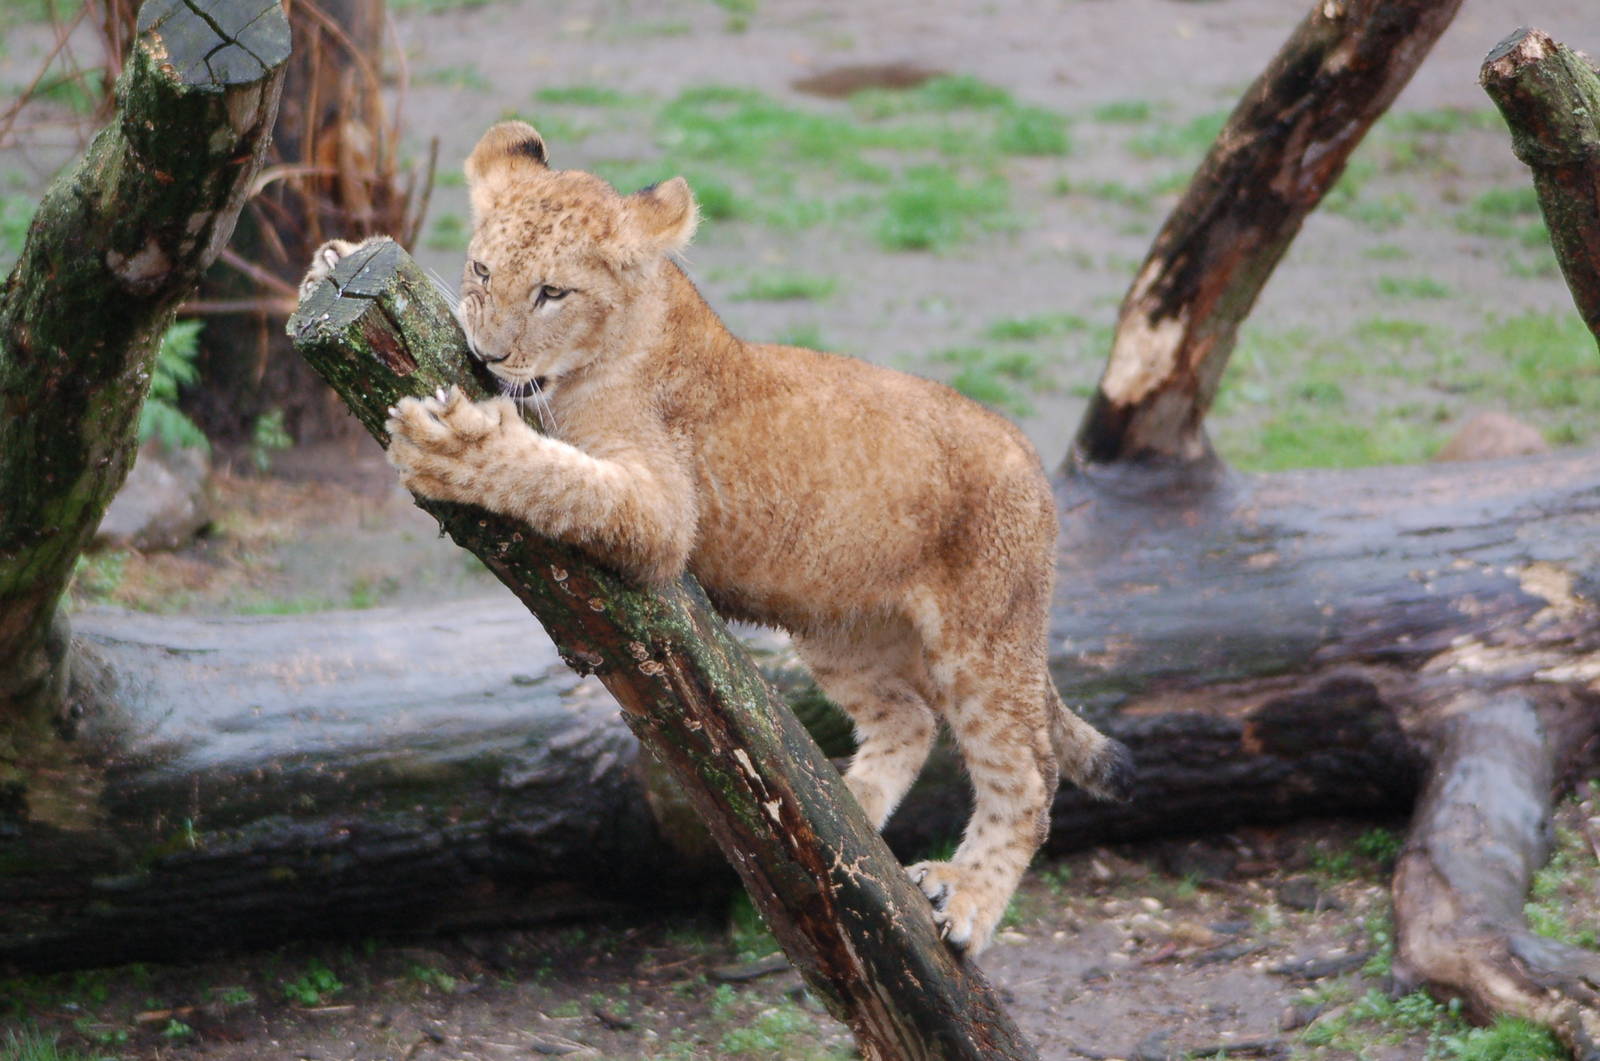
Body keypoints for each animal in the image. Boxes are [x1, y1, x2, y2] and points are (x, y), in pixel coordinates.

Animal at [304, 121, 1132, 954]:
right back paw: (849, 814)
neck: (620, 333)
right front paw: (335, 253)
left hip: (983, 639)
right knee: (910, 718)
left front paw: (455, 449)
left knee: (1029, 776)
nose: (489, 355)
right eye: (480, 268)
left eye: (552, 293)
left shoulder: (663, 510)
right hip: (840, 628)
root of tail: (1031, 459)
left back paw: (965, 898)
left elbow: (561, 478)